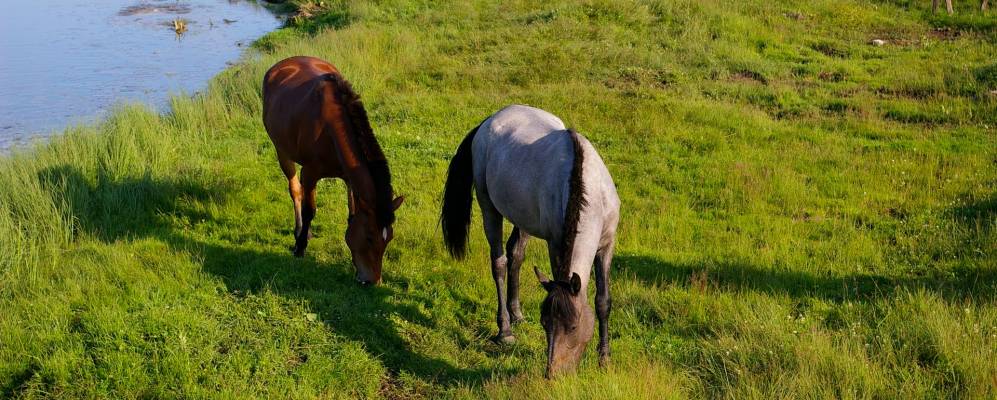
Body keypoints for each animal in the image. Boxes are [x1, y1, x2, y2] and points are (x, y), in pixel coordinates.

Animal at [266, 56, 406, 284]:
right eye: (369, 237)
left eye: (390, 237)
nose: (373, 281)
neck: (329, 128)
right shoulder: (310, 174)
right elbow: (310, 209)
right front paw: (300, 248)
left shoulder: (349, 178)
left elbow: (352, 213)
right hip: (282, 151)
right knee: (295, 190)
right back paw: (300, 231)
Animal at [442, 104, 620, 376]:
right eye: (545, 324)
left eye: (573, 327)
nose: (552, 373)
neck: (586, 185)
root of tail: (491, 119)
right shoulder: (555, 244)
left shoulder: (606, 246)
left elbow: (603, 301)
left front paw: (605, 359)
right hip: (488, 208)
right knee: (500, 263)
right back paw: (505, 330)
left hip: (522, 218)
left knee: (516, 255)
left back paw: (516, 313)